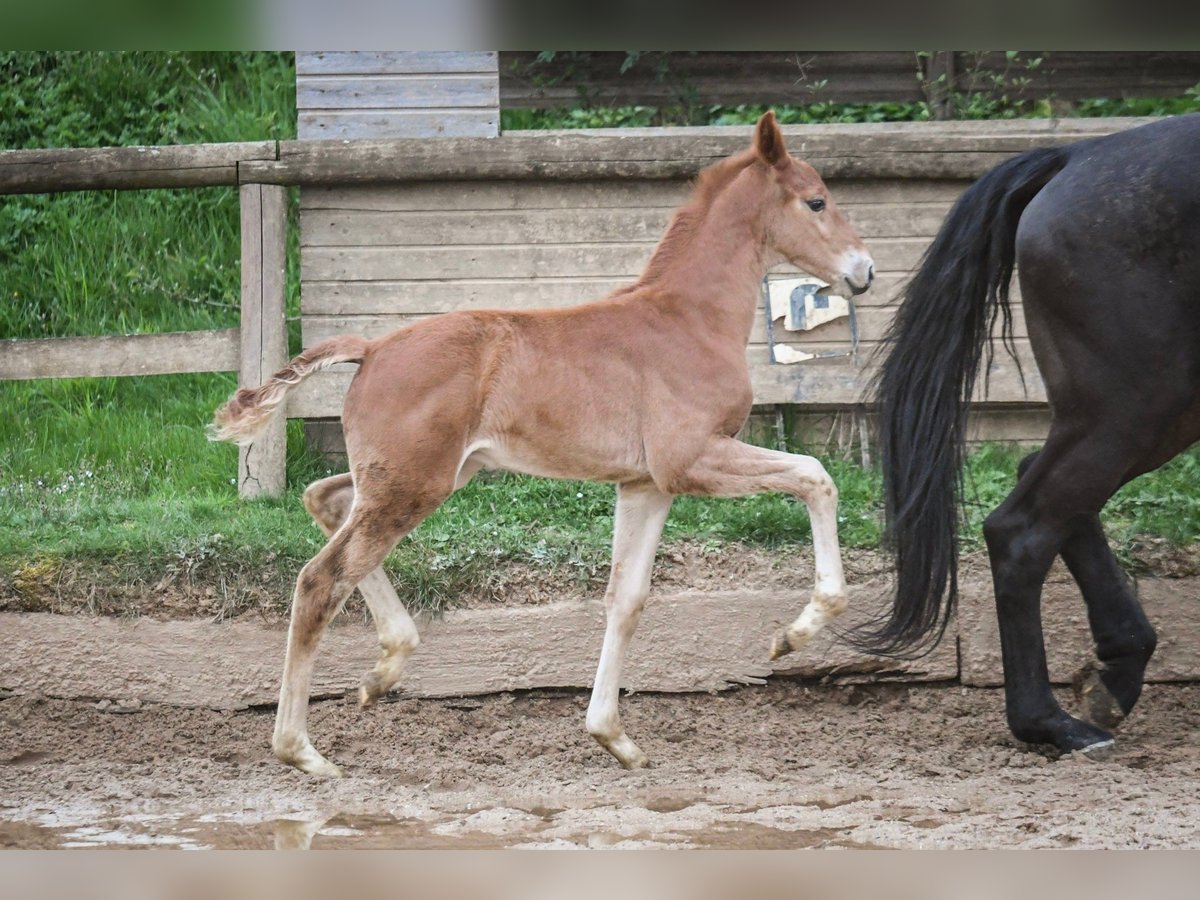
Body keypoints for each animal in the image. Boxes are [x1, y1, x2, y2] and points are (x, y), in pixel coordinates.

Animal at [213, 111, 873, 777]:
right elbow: (816, 476)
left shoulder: (645, 484)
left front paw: (613, 737)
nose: (864, 271)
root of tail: (371, 348)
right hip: (413, 484)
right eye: (816, 201)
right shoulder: (690, 459)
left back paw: (385, 668)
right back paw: (302, 749)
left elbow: (626, 598)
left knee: (324, 499)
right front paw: (794, 633)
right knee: (321, 579)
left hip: (419, 476)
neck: (688, 321)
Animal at [864, 116, 1200, 758]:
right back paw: (1052, 723)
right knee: (1023, 530)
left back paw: (1114, 677)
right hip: (1138, 405)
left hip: (1152, 413)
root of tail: (1076, 155)